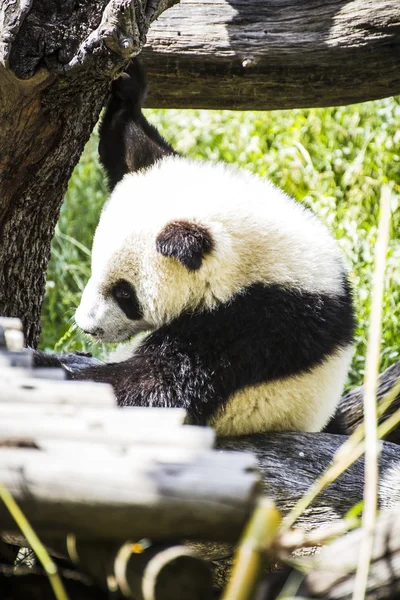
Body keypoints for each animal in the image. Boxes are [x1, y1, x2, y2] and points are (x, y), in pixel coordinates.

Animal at [36, 59, 354, 436]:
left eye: (125, 293)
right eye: (93, 269)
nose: (87, 326)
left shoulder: (258, 323)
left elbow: (158, 388)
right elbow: (131, 146)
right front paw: (127, 87)